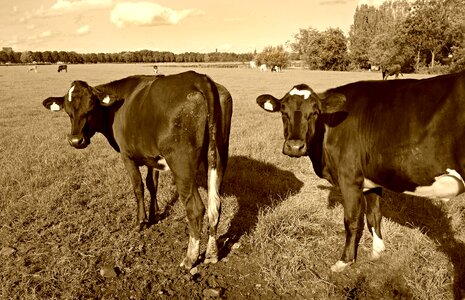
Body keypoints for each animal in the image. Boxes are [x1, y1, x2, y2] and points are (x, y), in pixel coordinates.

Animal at [43, 71, 232, 268]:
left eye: (91, 108)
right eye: (68, 111)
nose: (76, 141)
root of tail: (199, 78)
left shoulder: (127, 156)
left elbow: (138, 187)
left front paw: (141, 221)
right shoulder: (152, 157)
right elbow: (152, 185)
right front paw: (154, 214)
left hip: (181, 165)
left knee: (196, 209)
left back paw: (190, 258)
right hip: (218, 157)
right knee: (215, 205)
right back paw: (212, 253)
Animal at [256, 72, 464, 272]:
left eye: (315, 113)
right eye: (283, 111)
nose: (294, 147)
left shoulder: (349, 179)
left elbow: (352, 221)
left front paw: (345, 261)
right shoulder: (371, 180)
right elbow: (374, 215)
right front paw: (377, 251)